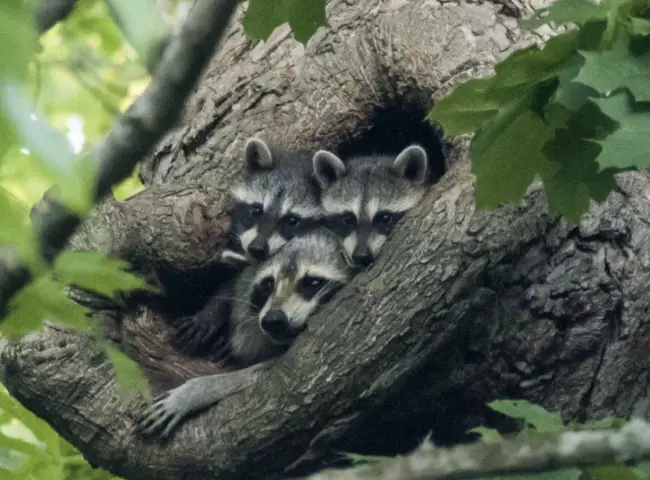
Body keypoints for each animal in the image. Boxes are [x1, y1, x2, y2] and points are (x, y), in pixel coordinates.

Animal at [138, 229, 354, 439]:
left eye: (313, 282)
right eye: (268, 284)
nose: (273, 321)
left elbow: (257, 374)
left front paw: (194, 392)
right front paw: (211, 314)